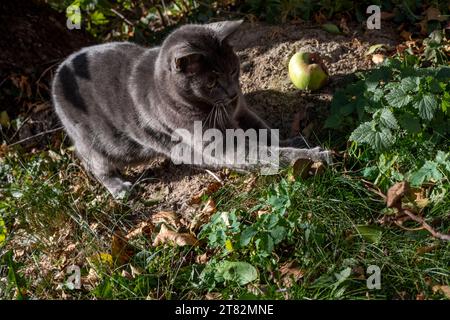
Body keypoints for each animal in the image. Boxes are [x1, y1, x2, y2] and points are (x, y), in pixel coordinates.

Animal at [51, 20, 330, 198]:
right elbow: (265, 153)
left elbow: (267, 133)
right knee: (95, 165)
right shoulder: (219, 142)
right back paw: (118, 187)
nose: (232, 93)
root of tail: (58, 71)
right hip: (95, 142)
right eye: (212, 82)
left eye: (233, 70)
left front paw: (295, 140)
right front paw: (314, 156)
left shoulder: (243, 112)